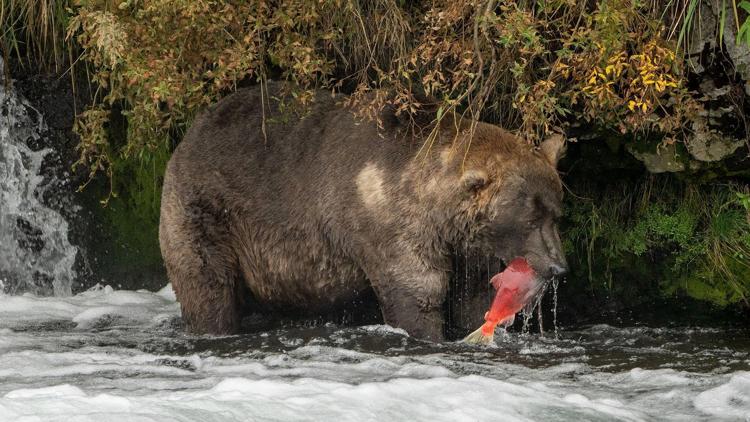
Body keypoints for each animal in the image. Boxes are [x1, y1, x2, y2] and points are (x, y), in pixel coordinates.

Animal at [160, 81, 568, 340]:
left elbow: (472, 295)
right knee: (207, 285)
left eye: (554, 213)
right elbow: (418, 292)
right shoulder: (389, 223)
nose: (558, 266)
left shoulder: (465, 244)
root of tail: (191, 131)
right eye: (530, 217)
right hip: (208, 211)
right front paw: (428, 332)